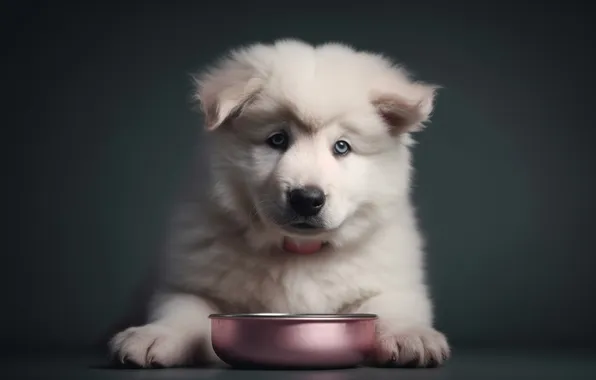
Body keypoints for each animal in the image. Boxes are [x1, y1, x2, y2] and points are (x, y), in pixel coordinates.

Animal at [109, 38, 450, 368]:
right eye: (277, 140)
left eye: (342, 147)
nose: (307, 199)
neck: (299, 252)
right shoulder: (189, 284)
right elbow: (182, 309)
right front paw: (155, 335)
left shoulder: (393, 283)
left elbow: (388, 307)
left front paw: (409, 335)